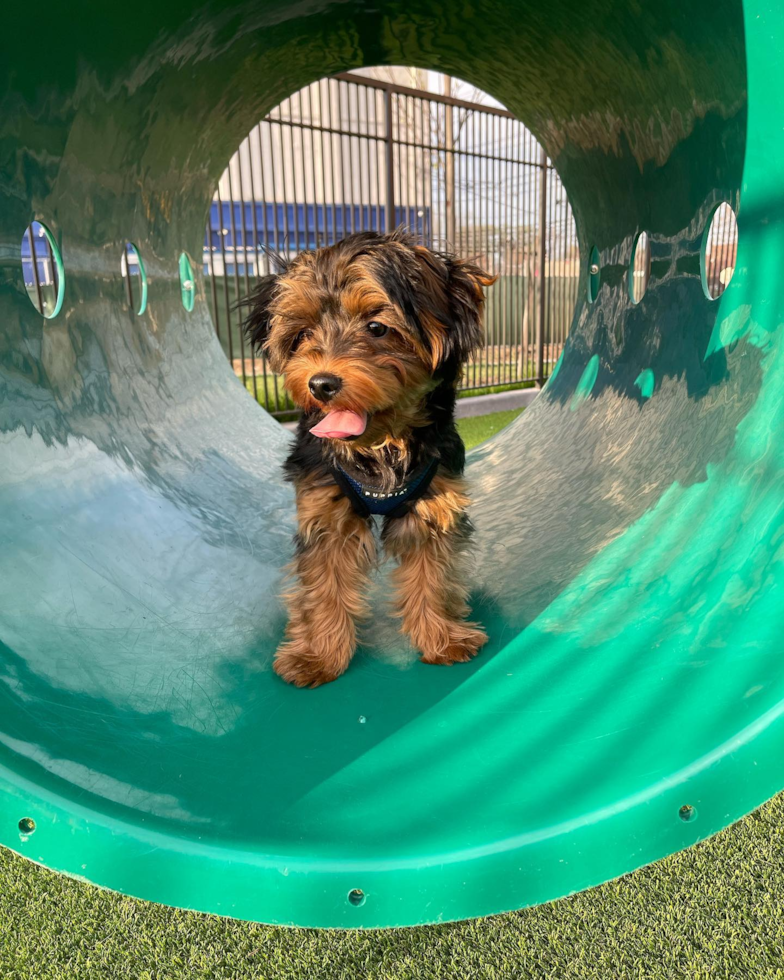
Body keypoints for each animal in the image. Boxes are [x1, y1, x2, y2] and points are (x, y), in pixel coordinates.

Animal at [242, 230, 494, 688]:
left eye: (377, 328)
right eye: (303, 333)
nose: (320, 383)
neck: (380, 448)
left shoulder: (433, 504)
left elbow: (432, 573)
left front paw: (441, 636)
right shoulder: (323, 511)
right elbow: (323, 584)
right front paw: (317, 655)